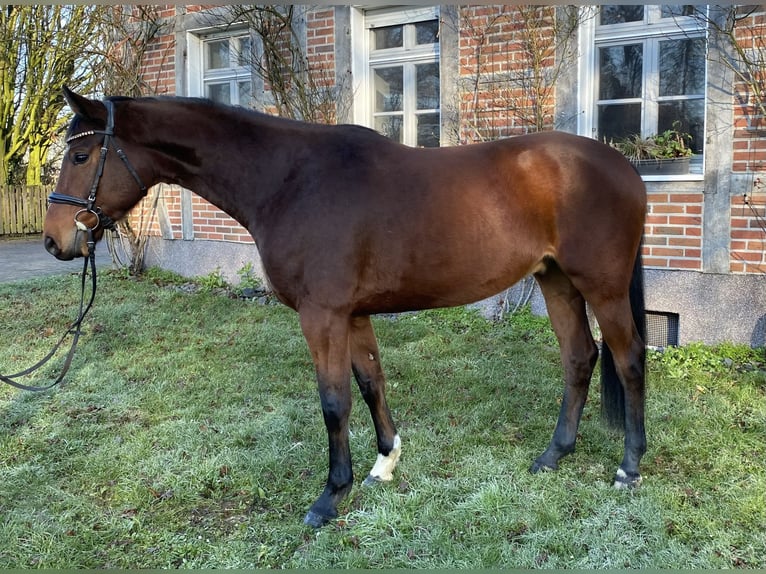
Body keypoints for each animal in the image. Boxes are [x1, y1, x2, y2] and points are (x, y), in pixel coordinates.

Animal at [45, 88, 648, 528]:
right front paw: (385, 462)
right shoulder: (353, 315)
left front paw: (331, 496)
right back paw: (553, 455)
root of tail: (626, 166)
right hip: (556, 280)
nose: (55, 241)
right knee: (579, 358)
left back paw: (628, 467)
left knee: (629, 360)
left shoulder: (322, 315)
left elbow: (334, 402)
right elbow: (371, 382)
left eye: (80, 154)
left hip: (602, 286)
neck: (289, 180)